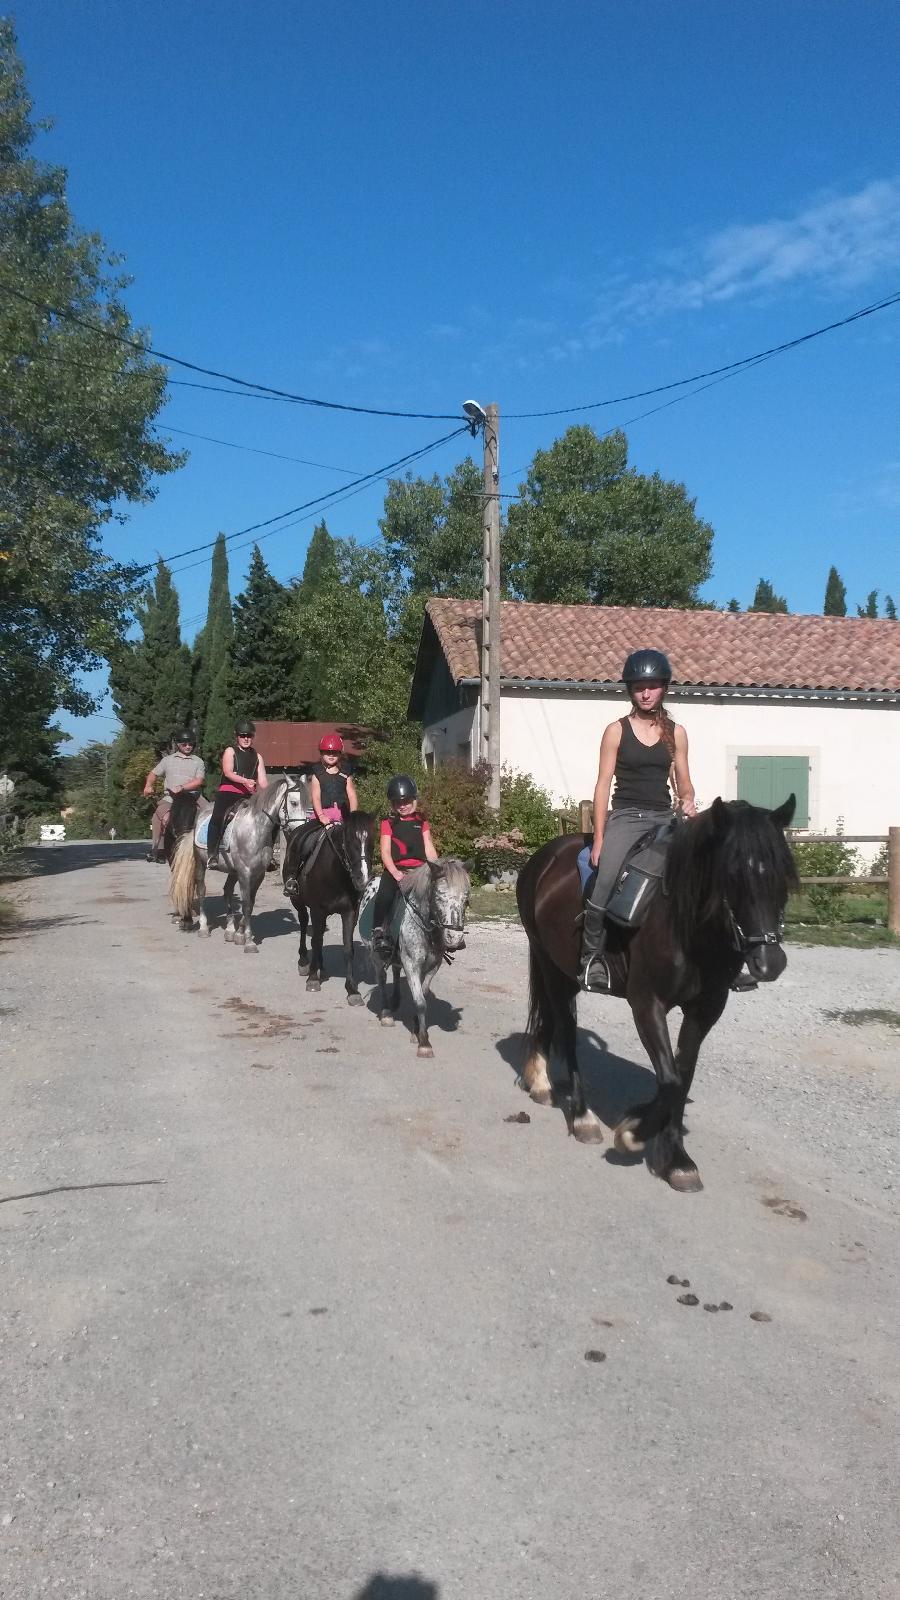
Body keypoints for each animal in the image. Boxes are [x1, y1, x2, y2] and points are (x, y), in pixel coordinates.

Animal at [168, 774, 294, 947]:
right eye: (294, 802)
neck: (256, 830)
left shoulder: (258, 873)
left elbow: (250, 902)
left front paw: (240, 933)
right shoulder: (245, 872)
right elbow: (246, 903)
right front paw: (247, 940)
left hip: (233, 871)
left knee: (227, 890)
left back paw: (229, 930)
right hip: (201, 863)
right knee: (201, 890)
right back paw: (203, 928)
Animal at [283, 812, 374, 998]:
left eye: (372, 841)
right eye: (349, 841)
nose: (363, 878)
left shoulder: (349, 913)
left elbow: (348, 948)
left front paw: (352, 989)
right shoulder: (317, 910)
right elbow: (316, 941)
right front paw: (312, 979)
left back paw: (322, 968)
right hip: (297, 901)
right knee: (304, 923)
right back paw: (304, 961)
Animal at [358, 857, 470, 1056]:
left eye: (466, 899)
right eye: (439, 896)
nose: (455, 938)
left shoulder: (433, 967)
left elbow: (423, 995)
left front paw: (416, 1030)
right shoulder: (412, 965)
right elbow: (420, 1002)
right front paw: (424, 1042)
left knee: (395, 969)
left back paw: (395, 1000)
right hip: (375, 956)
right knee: (381, 978)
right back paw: (386, 1013)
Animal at [512, 796, 791, 1190]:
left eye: (782, 873)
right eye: (733, 874)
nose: (771, 962)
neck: (685, 925)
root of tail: (543, 859)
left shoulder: (706, 1008)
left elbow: (681, 1077)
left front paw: (676, 1159)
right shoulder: (647, 1004)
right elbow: (670, 1079)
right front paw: (632, 1133)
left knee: (550, 1020)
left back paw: (539, 1082)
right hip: (552, 966)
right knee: (566, 1033)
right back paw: (582, 1117)